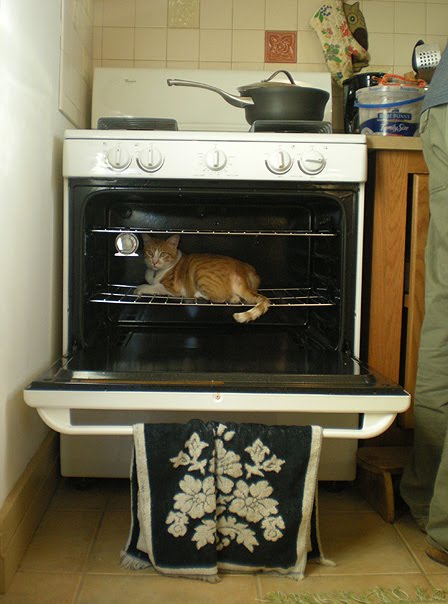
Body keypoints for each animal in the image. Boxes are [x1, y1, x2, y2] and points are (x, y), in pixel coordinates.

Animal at [134, 234, 270, 324]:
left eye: (163, 254)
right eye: (150, 253)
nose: (154, 262)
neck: (155, 272)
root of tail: (240, 269)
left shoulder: (172, 287)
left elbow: (154, 287)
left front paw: (139, 288)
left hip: (201, 272)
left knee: (221, 297)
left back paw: (199, 294)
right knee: (234, 298)